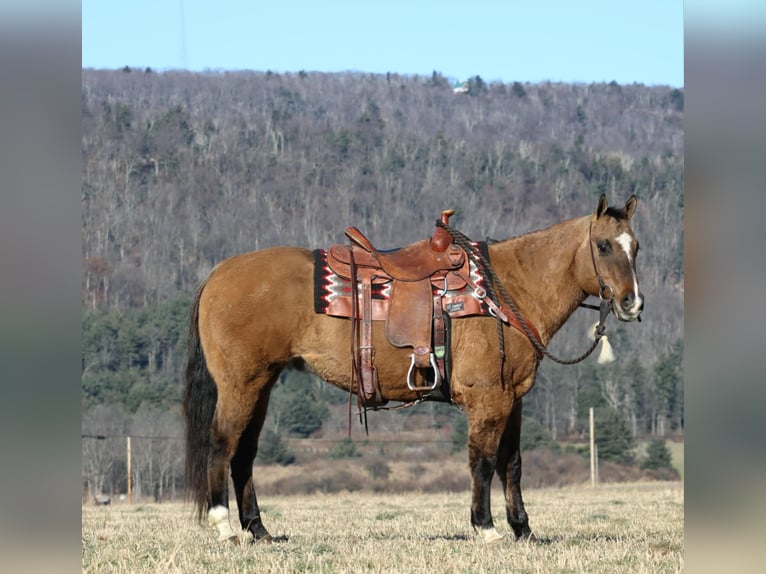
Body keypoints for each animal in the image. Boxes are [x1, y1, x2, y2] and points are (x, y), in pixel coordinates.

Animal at [184, 194, 640, 544]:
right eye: (603, 245)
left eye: (635, 247)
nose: (633, 303)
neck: (505, 289)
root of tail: (217, 274)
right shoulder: (488, 398)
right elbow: (482, 461)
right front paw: (486, 527)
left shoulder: (513, 398)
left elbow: (512, 464)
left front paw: (523, 530)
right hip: (240, 384)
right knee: (222, 444)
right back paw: (224, 526)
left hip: (262, 385)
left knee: (244, 454)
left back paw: (259, 529)